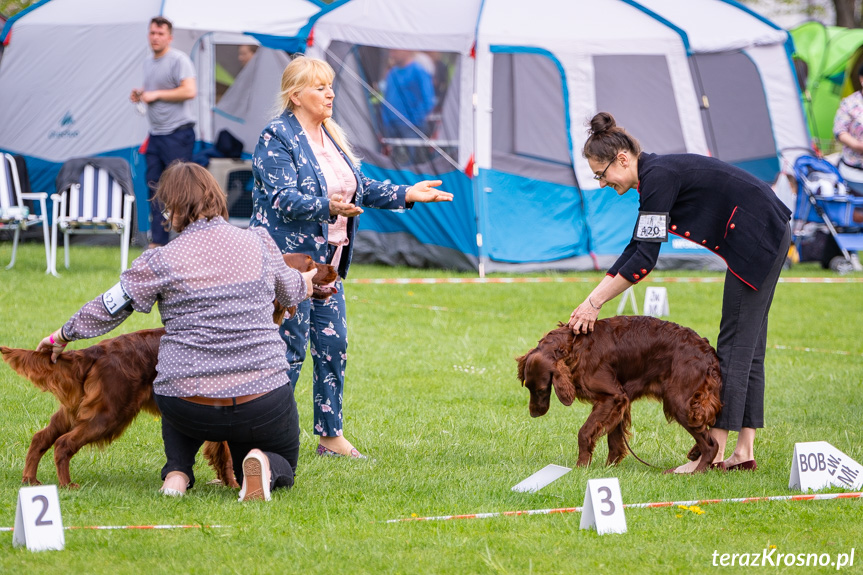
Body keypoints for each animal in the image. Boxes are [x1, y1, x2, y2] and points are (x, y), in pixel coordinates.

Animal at [0, 254, 338, 488]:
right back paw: (67, 485)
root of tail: (97, 351)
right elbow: (228, 452)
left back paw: (30, 479)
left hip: (79, 409)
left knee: (41, 437)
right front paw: (234, 485)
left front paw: (227, 483)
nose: (335, 268)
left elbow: (221, 451)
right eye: (311, 261)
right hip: (108, 413)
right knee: (63, 443)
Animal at [516, 318, 724, 474]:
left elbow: (584, 432)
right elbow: (614, 440)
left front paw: (581, 466)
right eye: (527, 387)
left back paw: (697, 471)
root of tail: (706, 349)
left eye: (541, 389)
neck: (574, 347)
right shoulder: (620, 401)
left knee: (711, 444)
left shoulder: (612, 396)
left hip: (678, 401)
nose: (534, 414)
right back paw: (694, 454)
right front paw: (609, 470)